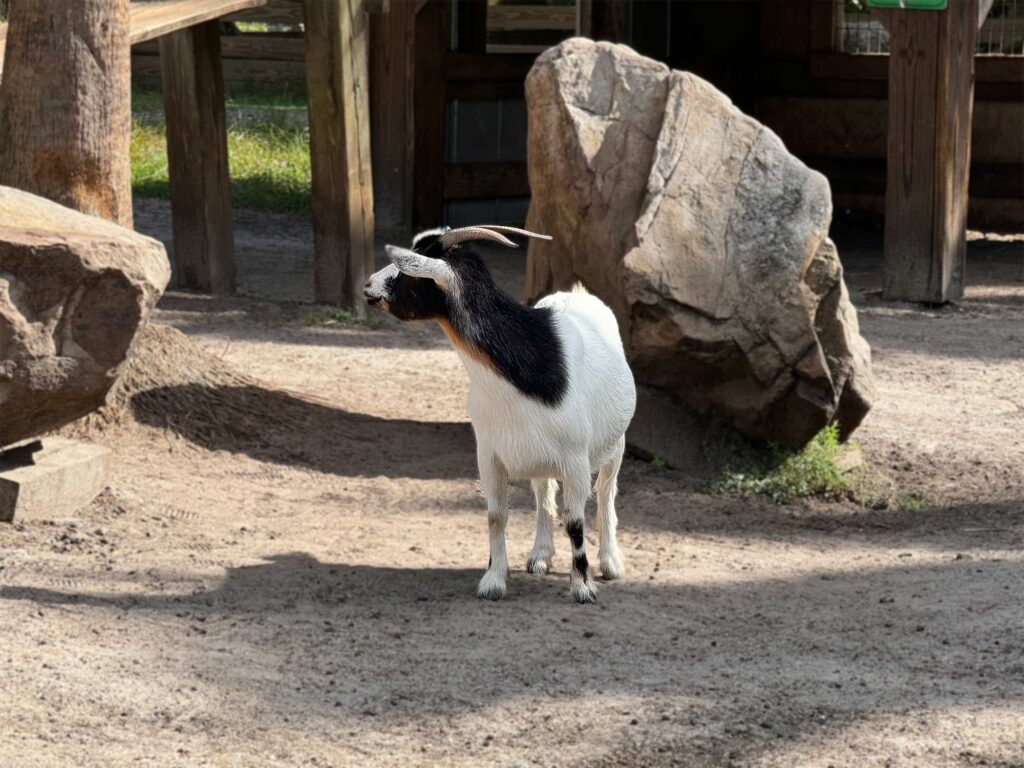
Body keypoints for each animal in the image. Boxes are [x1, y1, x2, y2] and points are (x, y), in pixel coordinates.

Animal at [364, 225, 634, 606]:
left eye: (407, 270)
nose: (368, 286)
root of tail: (577, 293)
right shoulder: (489, 453)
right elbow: (496, 516)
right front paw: (493, 580)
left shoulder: (575, 459)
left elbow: (576, 521)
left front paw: (582, 587)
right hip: (538, 455)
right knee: (543, 493)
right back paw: (540, 556)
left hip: (614, 445)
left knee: (607, 493)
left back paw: (610, 563)